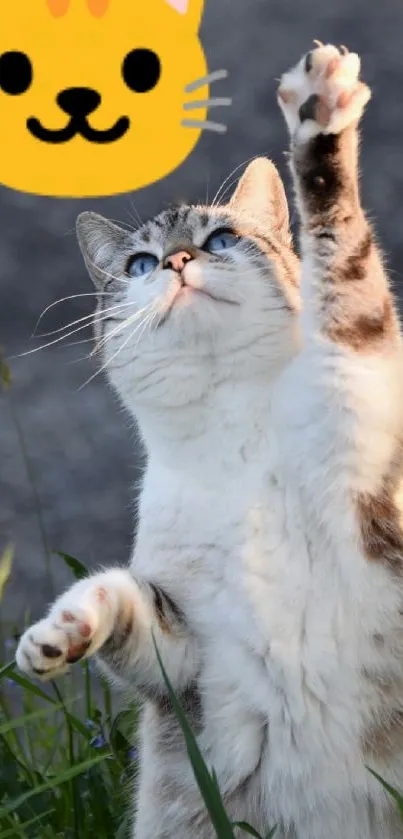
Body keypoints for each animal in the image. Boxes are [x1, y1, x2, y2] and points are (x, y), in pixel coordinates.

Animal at [15, 44, 403, 839]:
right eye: (138, 264)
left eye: (220, 240)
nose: (176, 262)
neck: (233, 435)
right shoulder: (187, 651)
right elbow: (122, 596)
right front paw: (57, 633)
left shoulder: (362, 387)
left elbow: (342, 255)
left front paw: (319, 118)